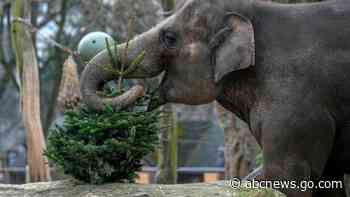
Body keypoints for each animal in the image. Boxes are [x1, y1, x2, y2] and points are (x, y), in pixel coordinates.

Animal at [80, 0, 350, 196]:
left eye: (169, 38)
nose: (138, 90)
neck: (257, 10)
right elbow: (327, 177)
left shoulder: (295, 106)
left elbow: (284, 176)